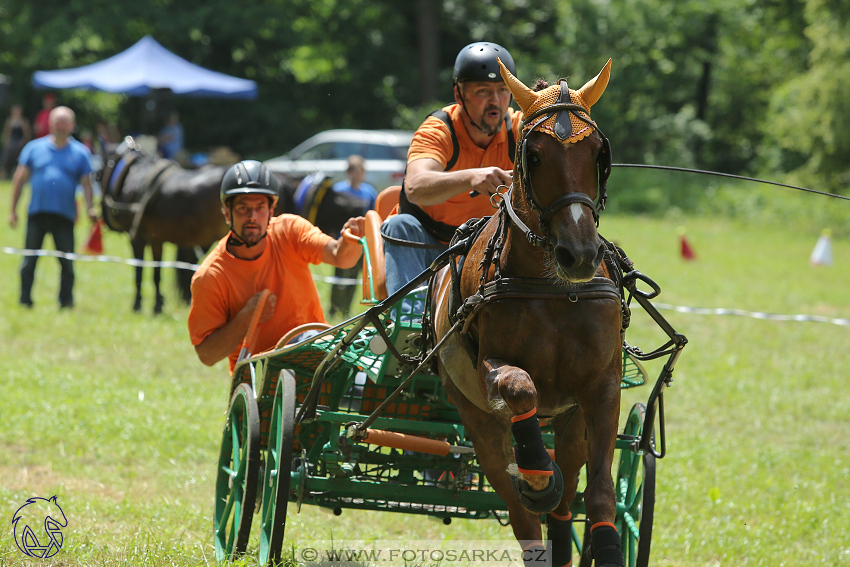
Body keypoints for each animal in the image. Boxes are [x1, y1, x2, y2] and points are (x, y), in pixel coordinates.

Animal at [430, 60, 624, 564]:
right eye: (532, 155)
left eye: (598, 153)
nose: (579, 254)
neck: (555, 291)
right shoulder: (489, 367)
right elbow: (519, 388)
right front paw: (537, 473)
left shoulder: (602, 385)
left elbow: (600, 494)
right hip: (477, 419)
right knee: (517, 503)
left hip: (570, 421)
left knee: (570, 482)